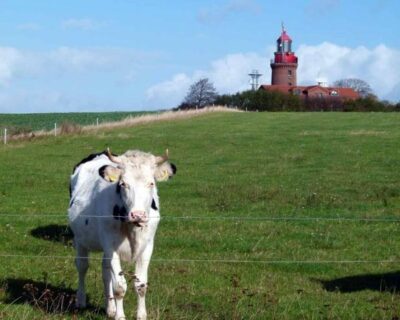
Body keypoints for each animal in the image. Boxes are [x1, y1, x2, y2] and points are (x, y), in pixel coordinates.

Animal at [68, 149, 177, 318]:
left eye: (151, 183)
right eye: (123, 184)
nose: (138, 215)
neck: (132, 229)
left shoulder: (147, 246)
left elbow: (141, 285)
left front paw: (141, 316)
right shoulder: (111, 246)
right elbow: (119, 287)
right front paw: (120, 316)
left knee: (105, 271)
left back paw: (110, 308)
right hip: (79, 239)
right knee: (82, 266)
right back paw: (81, 300)